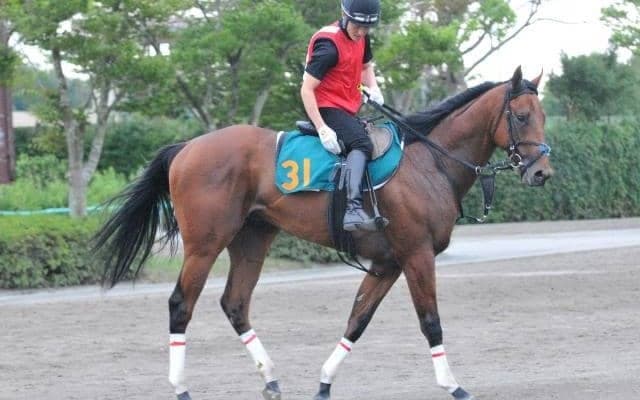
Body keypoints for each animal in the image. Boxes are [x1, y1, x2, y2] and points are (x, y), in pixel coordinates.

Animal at [93, 66, 553, 400]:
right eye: (521, 116)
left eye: (543, 116)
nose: (542, 172)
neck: (429, 162)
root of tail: (187, 147)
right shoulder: (416, 255)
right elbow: (431, 322)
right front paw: (453, 385)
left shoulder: (386, 263)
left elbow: (357, 320)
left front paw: (325, 381)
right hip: (205, 246)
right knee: (180, 305)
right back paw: (182, 388)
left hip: (252, 241)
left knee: (235, 304)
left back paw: (270, 378)